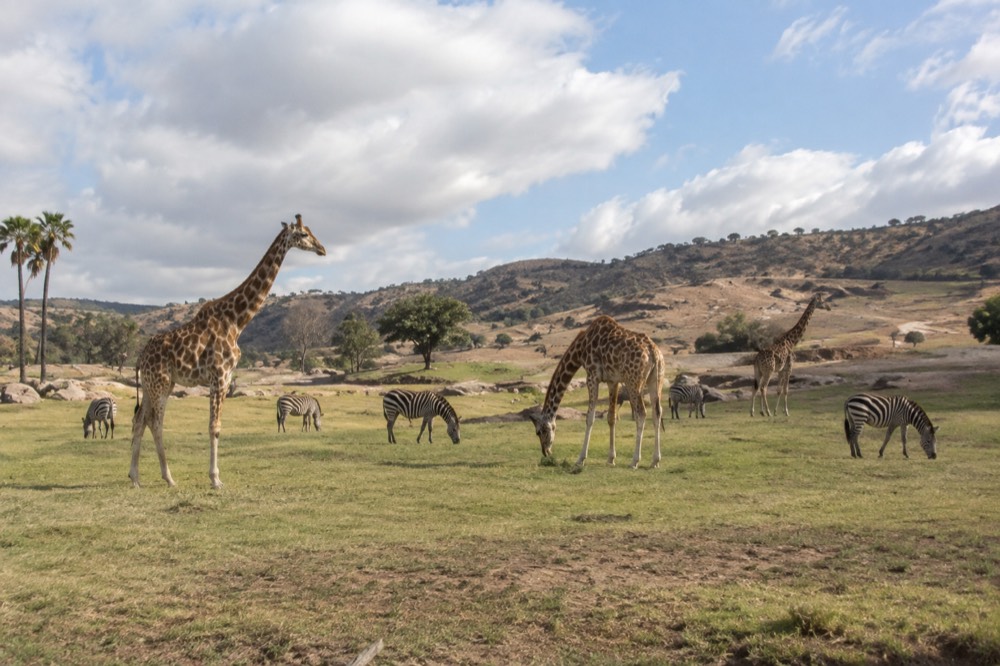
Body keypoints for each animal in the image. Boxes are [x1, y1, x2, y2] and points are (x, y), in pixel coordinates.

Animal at [129, 215, 326, 488]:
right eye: (304, 234)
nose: (322, 249)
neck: (236, 321)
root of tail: (140, 357)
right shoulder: (220, 376)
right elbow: (215, 426)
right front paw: (215, 479)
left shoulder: (226, 377)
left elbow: (215, 425)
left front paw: (214, 477)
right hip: (160, 384)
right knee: (155, 423)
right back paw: (168, 477)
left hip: (154, 385)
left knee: (140, 420)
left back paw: (135, 477)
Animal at [530, 315, 666, 469]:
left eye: (539, 431)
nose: (546, 452)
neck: (580, 349)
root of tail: (654, 352)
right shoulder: (613, 381)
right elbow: (611, 417)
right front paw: (611, 459)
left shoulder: (592, 376)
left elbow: (590, 418)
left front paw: (580, 459)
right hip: (656, 380)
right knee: (657, 412)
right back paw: (655, 461)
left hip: (633, 381)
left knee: (642, 413)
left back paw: (634, 461)